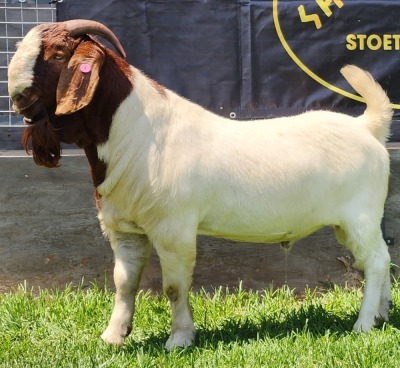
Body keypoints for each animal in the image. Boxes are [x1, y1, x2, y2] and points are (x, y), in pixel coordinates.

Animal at [8, 19, 394, 348]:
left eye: (59, 54)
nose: (17, 98)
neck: (136, 132)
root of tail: (366, 126)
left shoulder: (173, 228)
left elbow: (174, 287)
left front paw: (179, 339)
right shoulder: (125, 229)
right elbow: (124, 283)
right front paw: (113, 337)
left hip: (360, 216)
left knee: (375, 261)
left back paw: (363, 324)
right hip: (352, 223)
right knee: (382, 258)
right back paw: (383, 314)